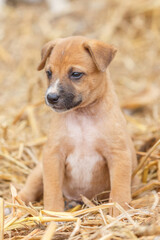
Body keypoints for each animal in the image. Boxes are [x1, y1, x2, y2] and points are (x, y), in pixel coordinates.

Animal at [18, 36, 139, 217]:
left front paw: (118, 211)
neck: (82, 117)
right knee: (30, 188)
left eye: (75, 74)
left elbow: (119, 188)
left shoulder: (119, 155)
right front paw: (53, 213)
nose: (51, 97)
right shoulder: (53, 155)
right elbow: (52, 189)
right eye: (49, 73)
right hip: (39, 170)